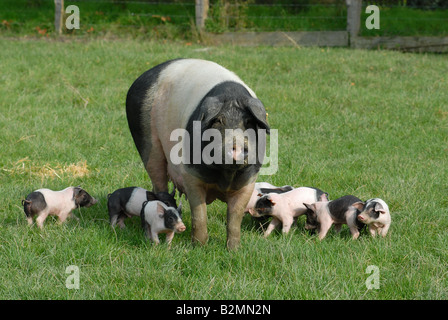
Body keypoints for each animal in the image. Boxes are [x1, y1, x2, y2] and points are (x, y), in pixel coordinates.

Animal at [126, 58, 270, 249]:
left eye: (248, 122)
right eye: (218, 121)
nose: (236, 145)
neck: (224, 176)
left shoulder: (248, 180)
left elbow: (235, 217)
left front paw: (234, 249)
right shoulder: (190, 174)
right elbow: (199, 213)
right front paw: (199, 246)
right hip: (146, 142)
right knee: (158, 181)